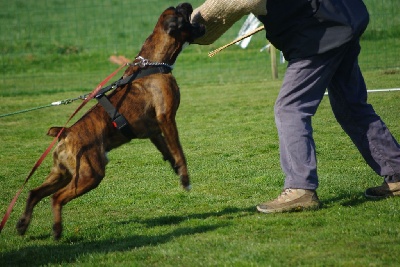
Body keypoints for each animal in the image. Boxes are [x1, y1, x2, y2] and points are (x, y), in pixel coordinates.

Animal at [16, 2, 205, 241]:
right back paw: (57, 230)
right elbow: (179, 151)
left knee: (34, 193)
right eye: (180, 13)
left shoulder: (154, 131)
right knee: (56, 198)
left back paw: (23, 224)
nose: (185, 4)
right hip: (89, 175)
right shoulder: (167, 118)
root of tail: (66, 132)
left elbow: (168, 151)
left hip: (63, 173)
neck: (152, 64)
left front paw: (177, 172)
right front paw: (185, 177)